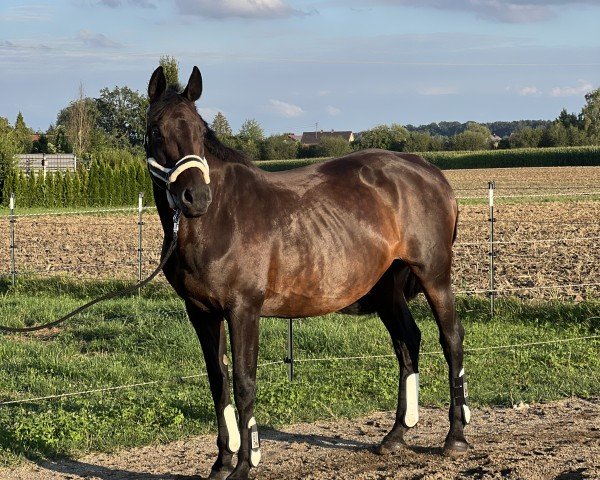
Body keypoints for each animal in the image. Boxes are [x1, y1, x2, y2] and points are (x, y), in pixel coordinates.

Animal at [145, 65, 468, 478]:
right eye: (157, 131)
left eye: (201, 133)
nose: (195, 197)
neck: (219, 219)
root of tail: (429, 170)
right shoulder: (201, 312)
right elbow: (219, 383)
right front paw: (221, 462)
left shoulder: (243, 310)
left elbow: (244, 382)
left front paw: (245, 464)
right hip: (386, 289)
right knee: (408, 341)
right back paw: (396, 435)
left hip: (434, 276)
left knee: (451, 340)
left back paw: (455, 437)